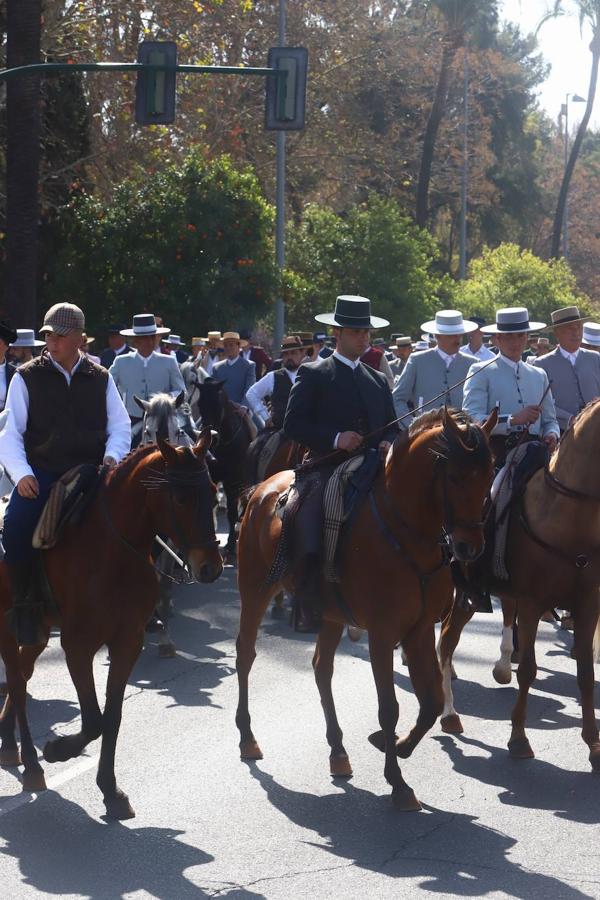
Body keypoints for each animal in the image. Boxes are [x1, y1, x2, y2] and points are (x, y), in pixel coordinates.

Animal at [0, 432, 223, 820]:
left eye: (212, 492)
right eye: (180, 497)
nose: (210, 566)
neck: (112, 550)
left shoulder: (127, 641)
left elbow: (112, 717)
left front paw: (110, 790)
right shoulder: (77, 645)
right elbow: (93, 720)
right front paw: (57, 750)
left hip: (37, 633)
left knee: (22, 677)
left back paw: (9, 744)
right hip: (6, 626)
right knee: (14, 679)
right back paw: (31, 763)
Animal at [193, 378, 254, 564]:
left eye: (218, 404)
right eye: (200, 404)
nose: (211, 436)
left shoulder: (233, 480)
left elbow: (232, 512)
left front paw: (230, 547)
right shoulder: (211, 476)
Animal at [234, 408, 496, 808]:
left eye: (489, 474)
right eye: (453, 476)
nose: (470, 547)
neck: (406, 531)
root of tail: (261, 490)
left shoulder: (419, 629)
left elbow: (432, 702)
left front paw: (399, 747)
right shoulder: (383, 634)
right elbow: (390, 707)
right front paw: (398, 782)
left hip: (329, 613)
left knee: (321, 668)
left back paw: (338, 751)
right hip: (253, 591)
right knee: (246, 654)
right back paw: (248, 737)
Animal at [438, 400, 600, 772]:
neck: (567, 515)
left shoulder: (587, 606)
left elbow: (585, 673)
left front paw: (593, 743)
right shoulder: (531, 603)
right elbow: (528, 670)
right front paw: (518, 739)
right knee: (445, 641)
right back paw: (449, 713)